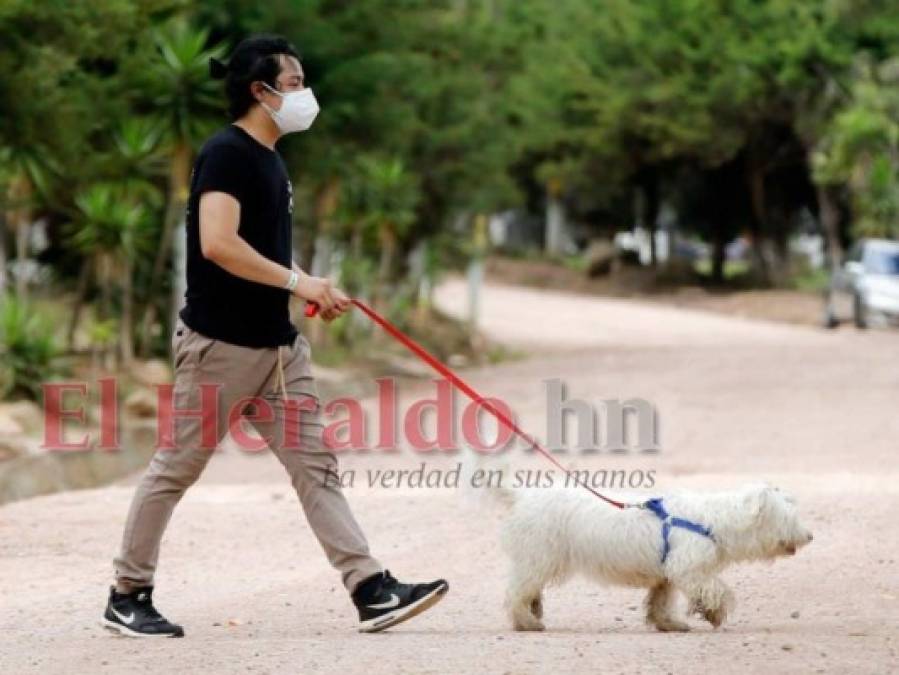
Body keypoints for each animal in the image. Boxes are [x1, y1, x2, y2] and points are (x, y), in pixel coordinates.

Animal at [486, 480, 816, 628]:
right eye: (790, 517)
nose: (811, 535)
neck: (713, 521)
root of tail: (523, 496)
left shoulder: (666, 574)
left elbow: (660, 600)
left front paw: (669, 624)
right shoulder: (688, 568)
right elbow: (715, 589)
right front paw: (714, 612)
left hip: (536, 559)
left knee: (525, 589)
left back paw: (533, 611)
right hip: (539, 557)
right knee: (515, 592)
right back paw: (527, 621)